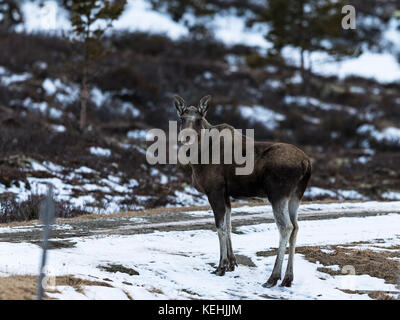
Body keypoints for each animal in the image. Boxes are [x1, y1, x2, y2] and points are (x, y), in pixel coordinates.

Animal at [173, 95, 310, 288]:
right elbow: (229, 224)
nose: (186, 138)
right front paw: (231, 263)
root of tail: (307, 164)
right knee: (296, 227)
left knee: (286, 227)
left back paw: (273, 277)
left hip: (277, 194)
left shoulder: (214, 191)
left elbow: (220, 227)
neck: (197, 158)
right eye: (182, 118)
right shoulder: (226, 194)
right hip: (295, 196)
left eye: (199, 119)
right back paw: (288, 278)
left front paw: (221, 267)